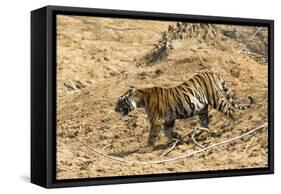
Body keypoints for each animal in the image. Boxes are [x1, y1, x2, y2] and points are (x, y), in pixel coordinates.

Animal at [114, 70, 252, 150]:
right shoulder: (168, 120)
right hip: (202, 108)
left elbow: (152, 135)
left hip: (216, 99)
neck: (141, 100)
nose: (114, 109)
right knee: (205, 122)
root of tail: (212, 72)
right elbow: (167, 132)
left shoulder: (156, 120)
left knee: (230, 110)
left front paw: (147, 149)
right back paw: (195, 134)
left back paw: (231, 125)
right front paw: (178, 137)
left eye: (120, 101)